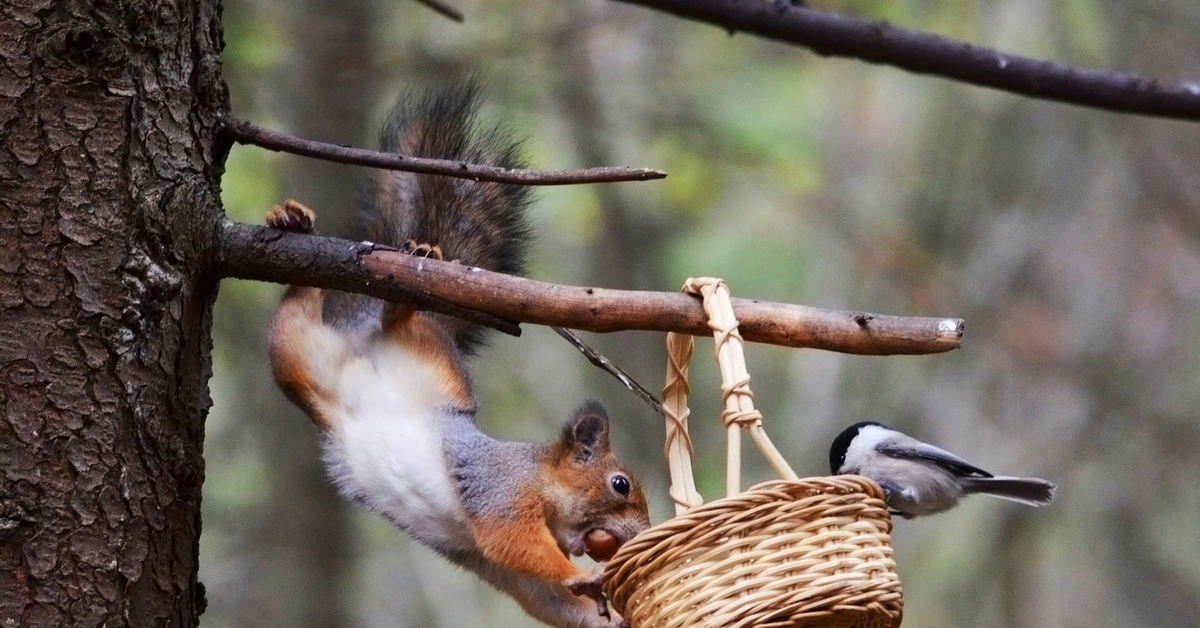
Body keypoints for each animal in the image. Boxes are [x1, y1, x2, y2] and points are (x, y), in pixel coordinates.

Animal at [267, 84, 652, 628]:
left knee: (298, 315)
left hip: (300, 358)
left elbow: (551, 599)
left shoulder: (514, 573)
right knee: (370, 315)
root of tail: (360, 332)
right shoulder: (500, 492)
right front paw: (590, 576)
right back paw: (386, 276)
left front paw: (609, 613)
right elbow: (515, 541)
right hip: (416, 358)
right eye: (619, 484)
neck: (540, 479)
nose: (641, 532)